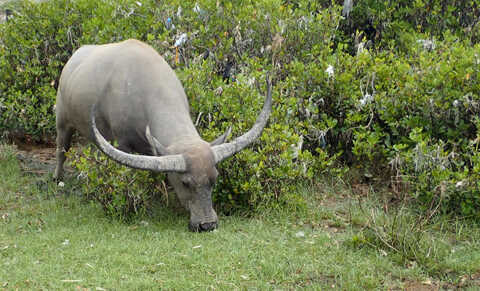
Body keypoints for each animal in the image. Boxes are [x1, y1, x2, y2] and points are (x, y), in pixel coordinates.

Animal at [54, 40, 272, 233]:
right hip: (62, 120)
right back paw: (58, 178)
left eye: (214, 179)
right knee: (62, 148)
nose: (207, 225)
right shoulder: (121, 142)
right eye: (185, 183)